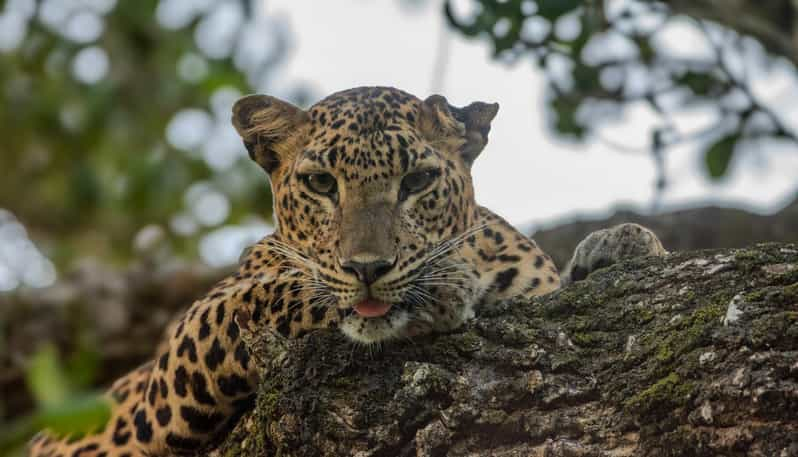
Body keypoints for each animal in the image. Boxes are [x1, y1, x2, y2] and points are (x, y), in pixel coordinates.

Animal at [28, 86, 664, 456]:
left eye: (417, 181)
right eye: (319, 184)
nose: (369, 267)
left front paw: (625, 243)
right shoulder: (184, 351)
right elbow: (278, 292)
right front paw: (436, 293)